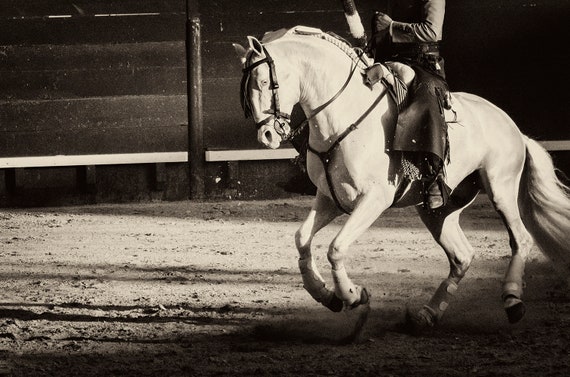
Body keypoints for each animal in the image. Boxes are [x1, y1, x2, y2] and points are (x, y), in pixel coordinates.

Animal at [233, 26, 568, 330]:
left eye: (264, 82)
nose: (266, 135)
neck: (342, 116)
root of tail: (512, 125)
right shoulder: (330, 197)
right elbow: (302, 239)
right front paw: (326, 295)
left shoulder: (374, 200)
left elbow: (336, 247)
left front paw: (353, 295)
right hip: (438, 210)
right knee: (462, 255)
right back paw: (426, 315)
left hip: (500, 188)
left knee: (520, 238)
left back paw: (512, 300)